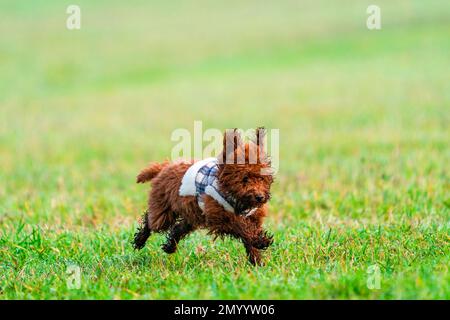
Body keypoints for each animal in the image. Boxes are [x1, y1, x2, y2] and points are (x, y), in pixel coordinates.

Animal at [133, 127, 274, 264]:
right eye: (245, 178)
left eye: (261, 178)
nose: (259, 197)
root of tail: (165, 166)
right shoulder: (220, 216)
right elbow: (241, 226)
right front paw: (261, 241)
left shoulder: (252, 217)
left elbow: (249, 235)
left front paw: (257, 260)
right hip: (164, 210)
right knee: (151, 221)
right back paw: (140, 240)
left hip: (191, 215)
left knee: (178, 228)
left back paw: (169, 246)